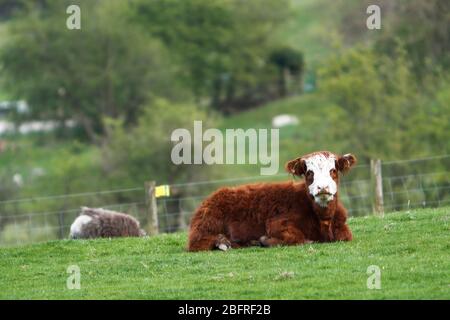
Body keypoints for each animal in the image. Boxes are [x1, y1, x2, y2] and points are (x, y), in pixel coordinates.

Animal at [186, 151, 356, 251]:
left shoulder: (343, 229)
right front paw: (264, 240)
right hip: (207, 226)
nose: (323, 187)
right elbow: (297, 237)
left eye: (333, 170)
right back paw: (223, 242)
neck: (322, 220)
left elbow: (345, 235)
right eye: (309, 172)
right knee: (197, 243)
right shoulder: (276, 223)